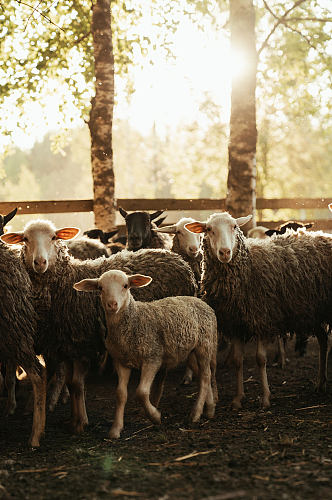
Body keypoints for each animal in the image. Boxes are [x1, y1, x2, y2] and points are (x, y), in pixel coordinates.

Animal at [0, 219, 197, 434]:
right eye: (25, 239)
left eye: (53, 237)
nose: (40, 262)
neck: (65, 284)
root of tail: (176, 258)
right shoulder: (65, 343)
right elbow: (70, 383)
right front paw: (73, 419)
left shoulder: (82, 344)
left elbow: (77, 384)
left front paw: (81, 422)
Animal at [73, 270, 218, 438]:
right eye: (100, 288)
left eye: (126, 285)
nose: (112, 304)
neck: (133, 322)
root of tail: (201, 301)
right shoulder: (121, 362)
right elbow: (120, 394)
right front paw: (116, 429)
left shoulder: (152, 357)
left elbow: (141, 392)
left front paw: (155, 416)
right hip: (190, 351)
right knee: (202, 374)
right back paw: (210, 409)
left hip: (205, 345)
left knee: (206, 376)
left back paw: (195, 414)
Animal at [185, 211, 332, 410]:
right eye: (208, 229)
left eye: (234, 226)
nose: (225, 252)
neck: (248, 268)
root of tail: (323, 234)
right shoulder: (235, 324)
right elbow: (237, 360)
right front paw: (238, 399)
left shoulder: (262, 317)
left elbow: (261, 359)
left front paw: (266, 398)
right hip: (311, 311)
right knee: (324, 340)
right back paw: (321, 383)